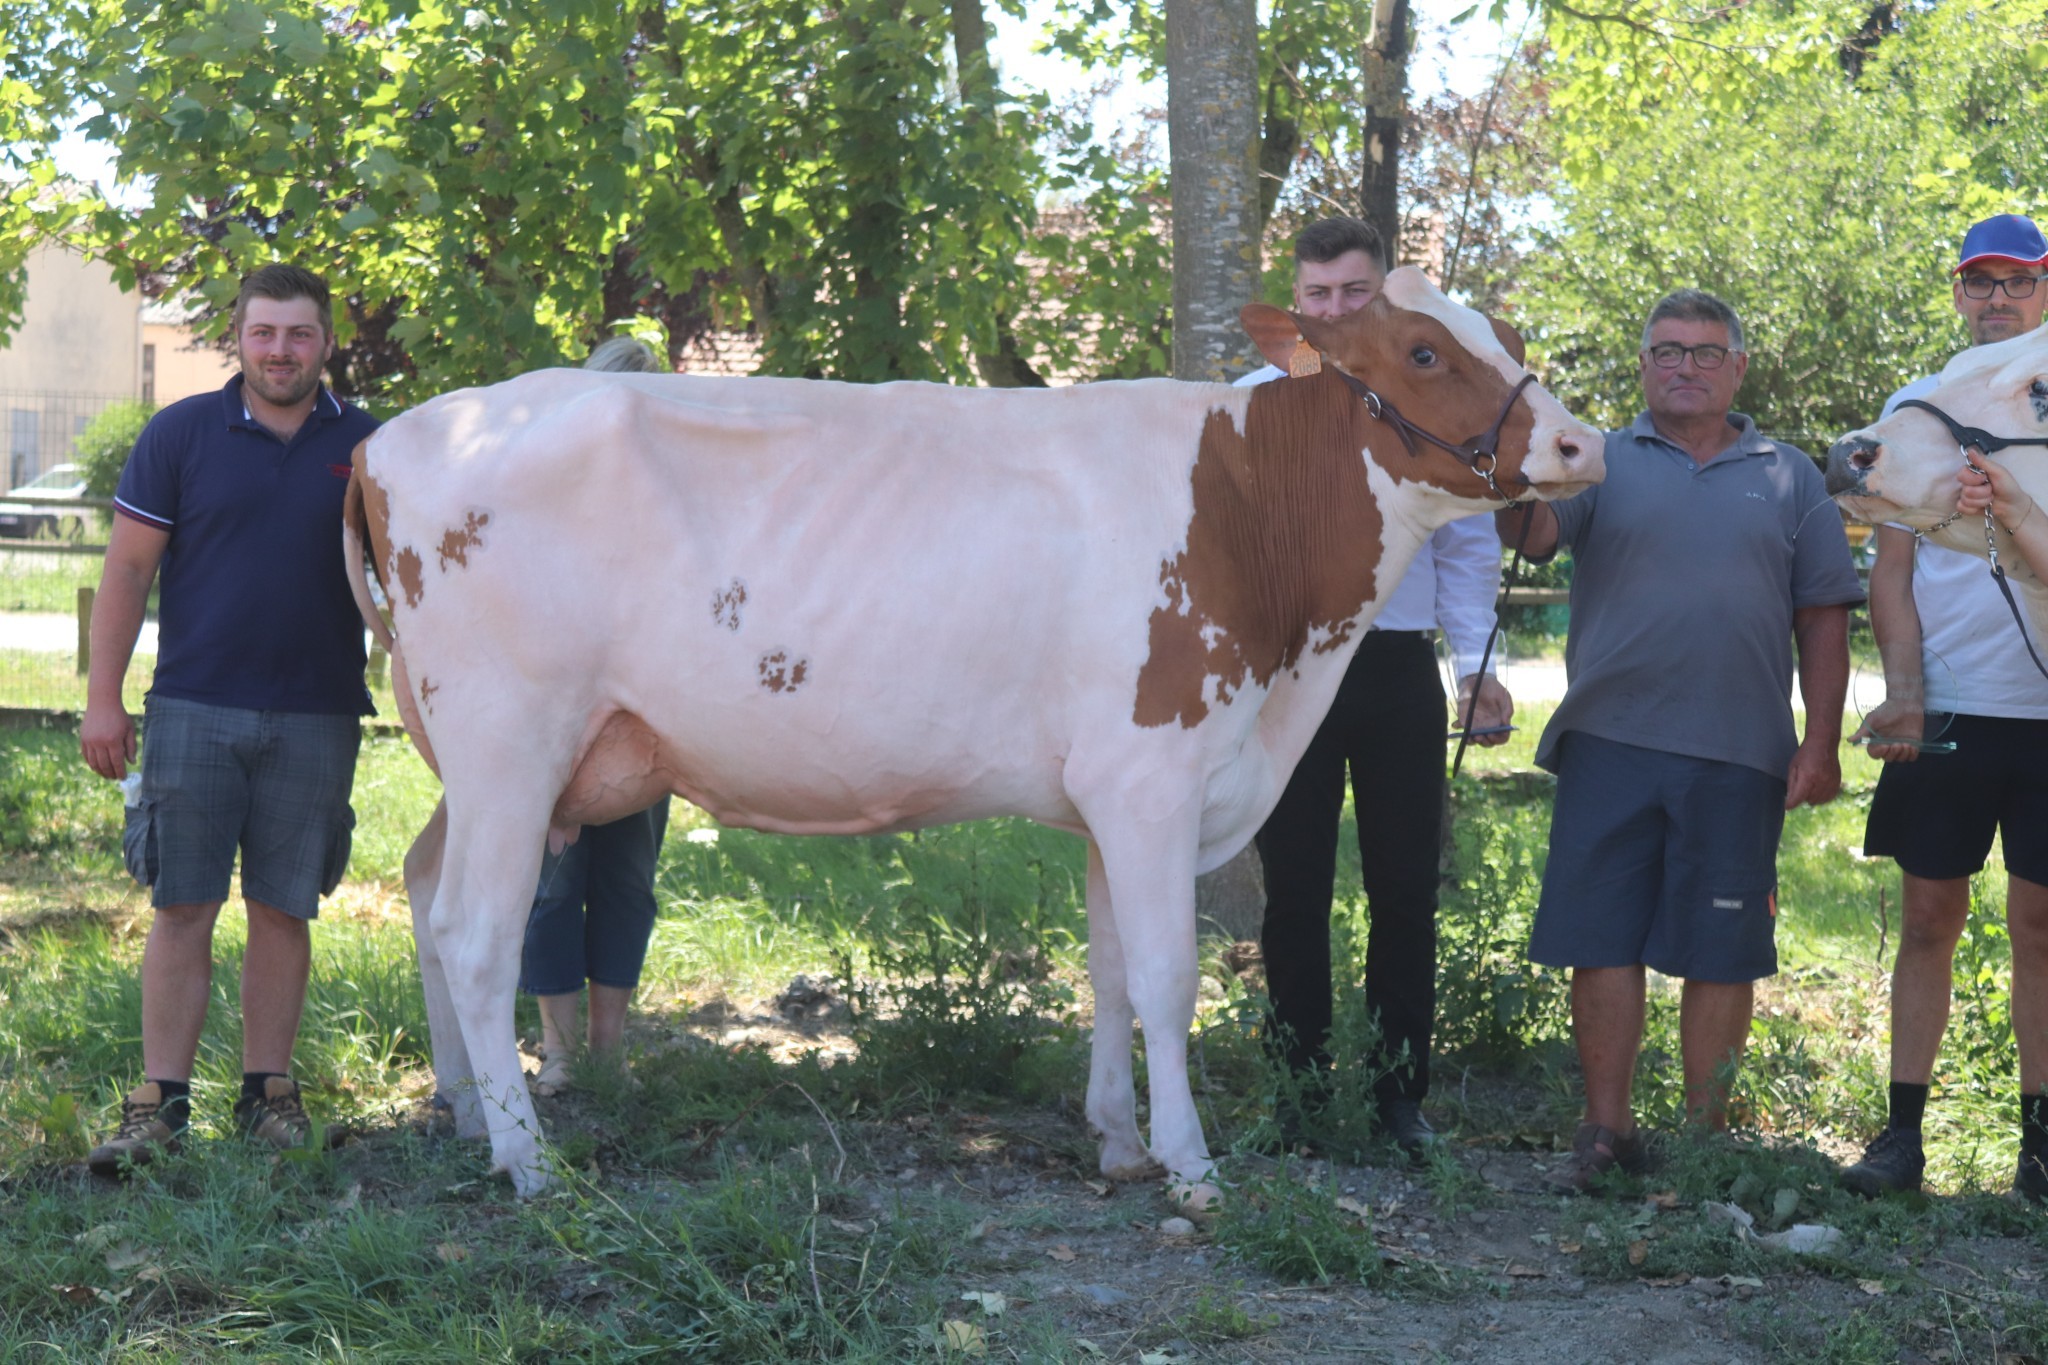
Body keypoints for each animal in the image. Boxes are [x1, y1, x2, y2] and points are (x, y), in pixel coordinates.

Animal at [348, 270, 1597, 1203]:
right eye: (1423, 353)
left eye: (1507, 335)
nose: (1579, 445)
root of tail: (399, 434)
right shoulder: (1150, 775)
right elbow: (1167, 976)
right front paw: (1191, 1167)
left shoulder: (1109, 797)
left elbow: (1106, 971)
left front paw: (1119, 1142)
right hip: (513, 738)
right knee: (474, 931)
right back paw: (525, 1158)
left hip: (474, 755)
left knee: (421, 887)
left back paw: (467, 1115)